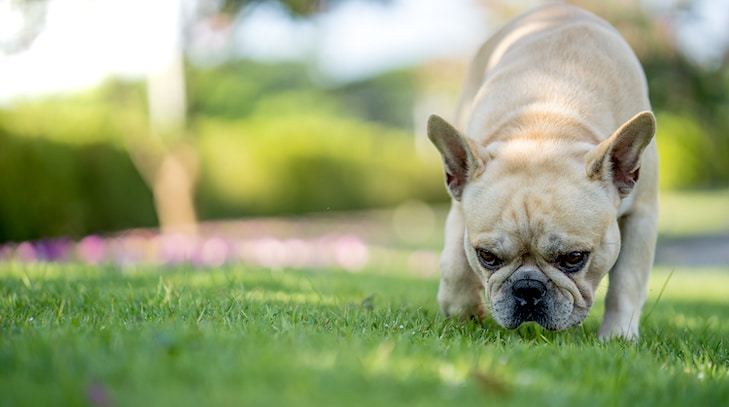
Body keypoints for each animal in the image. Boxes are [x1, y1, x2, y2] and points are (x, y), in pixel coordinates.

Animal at [430, 3, 656, 342]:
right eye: (487, 256)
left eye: (574, 258)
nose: (528, 289)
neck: (546, 124)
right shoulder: (461, 206)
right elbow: (455, 265)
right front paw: (463, 312)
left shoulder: (642, 214)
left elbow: (627, 282)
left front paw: (618, 336)